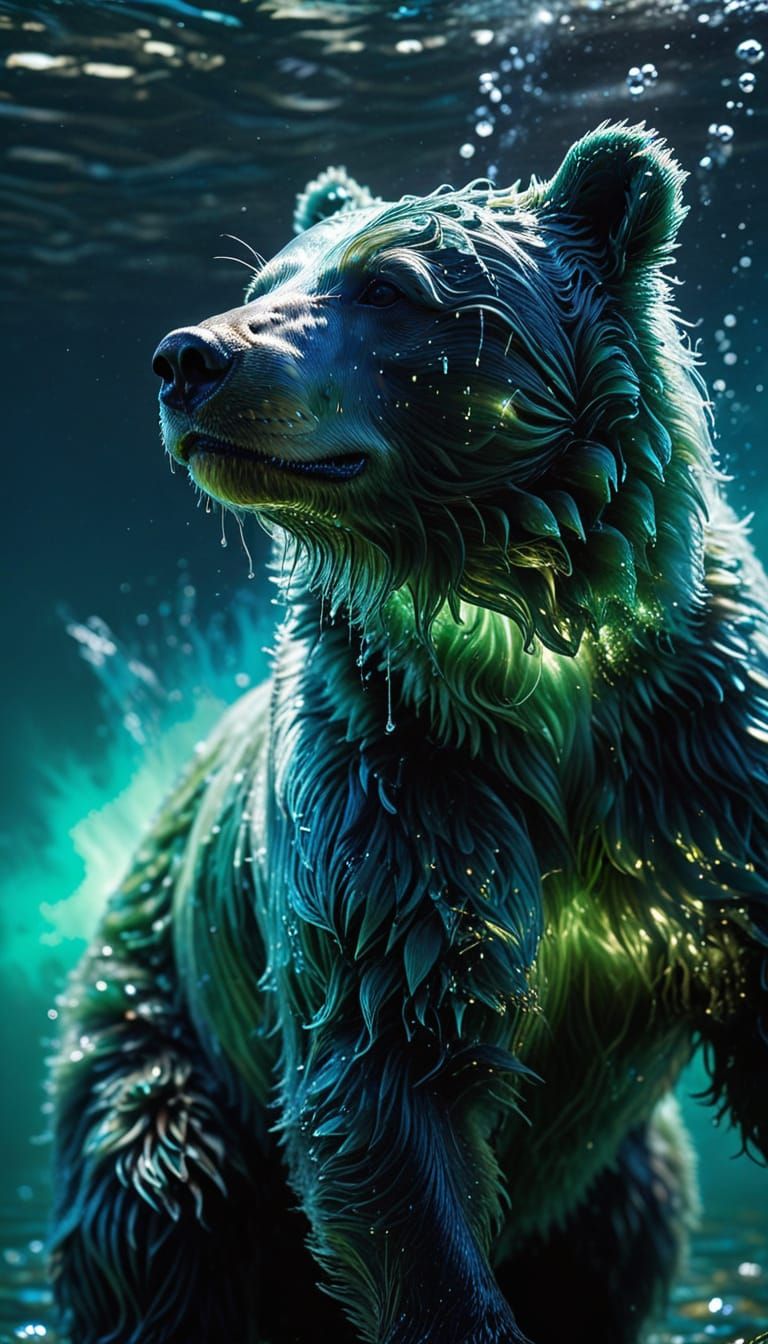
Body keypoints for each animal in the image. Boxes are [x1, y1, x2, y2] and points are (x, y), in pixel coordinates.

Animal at [50, 123, 768, 1344]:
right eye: (268, 278)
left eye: (388, 285)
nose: (190, 357)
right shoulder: (396, 794)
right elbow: (388, 1099)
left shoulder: (699, 761)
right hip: (160, 1030)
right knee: (160, 1207)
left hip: (624, 1167)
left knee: (626, 1234)